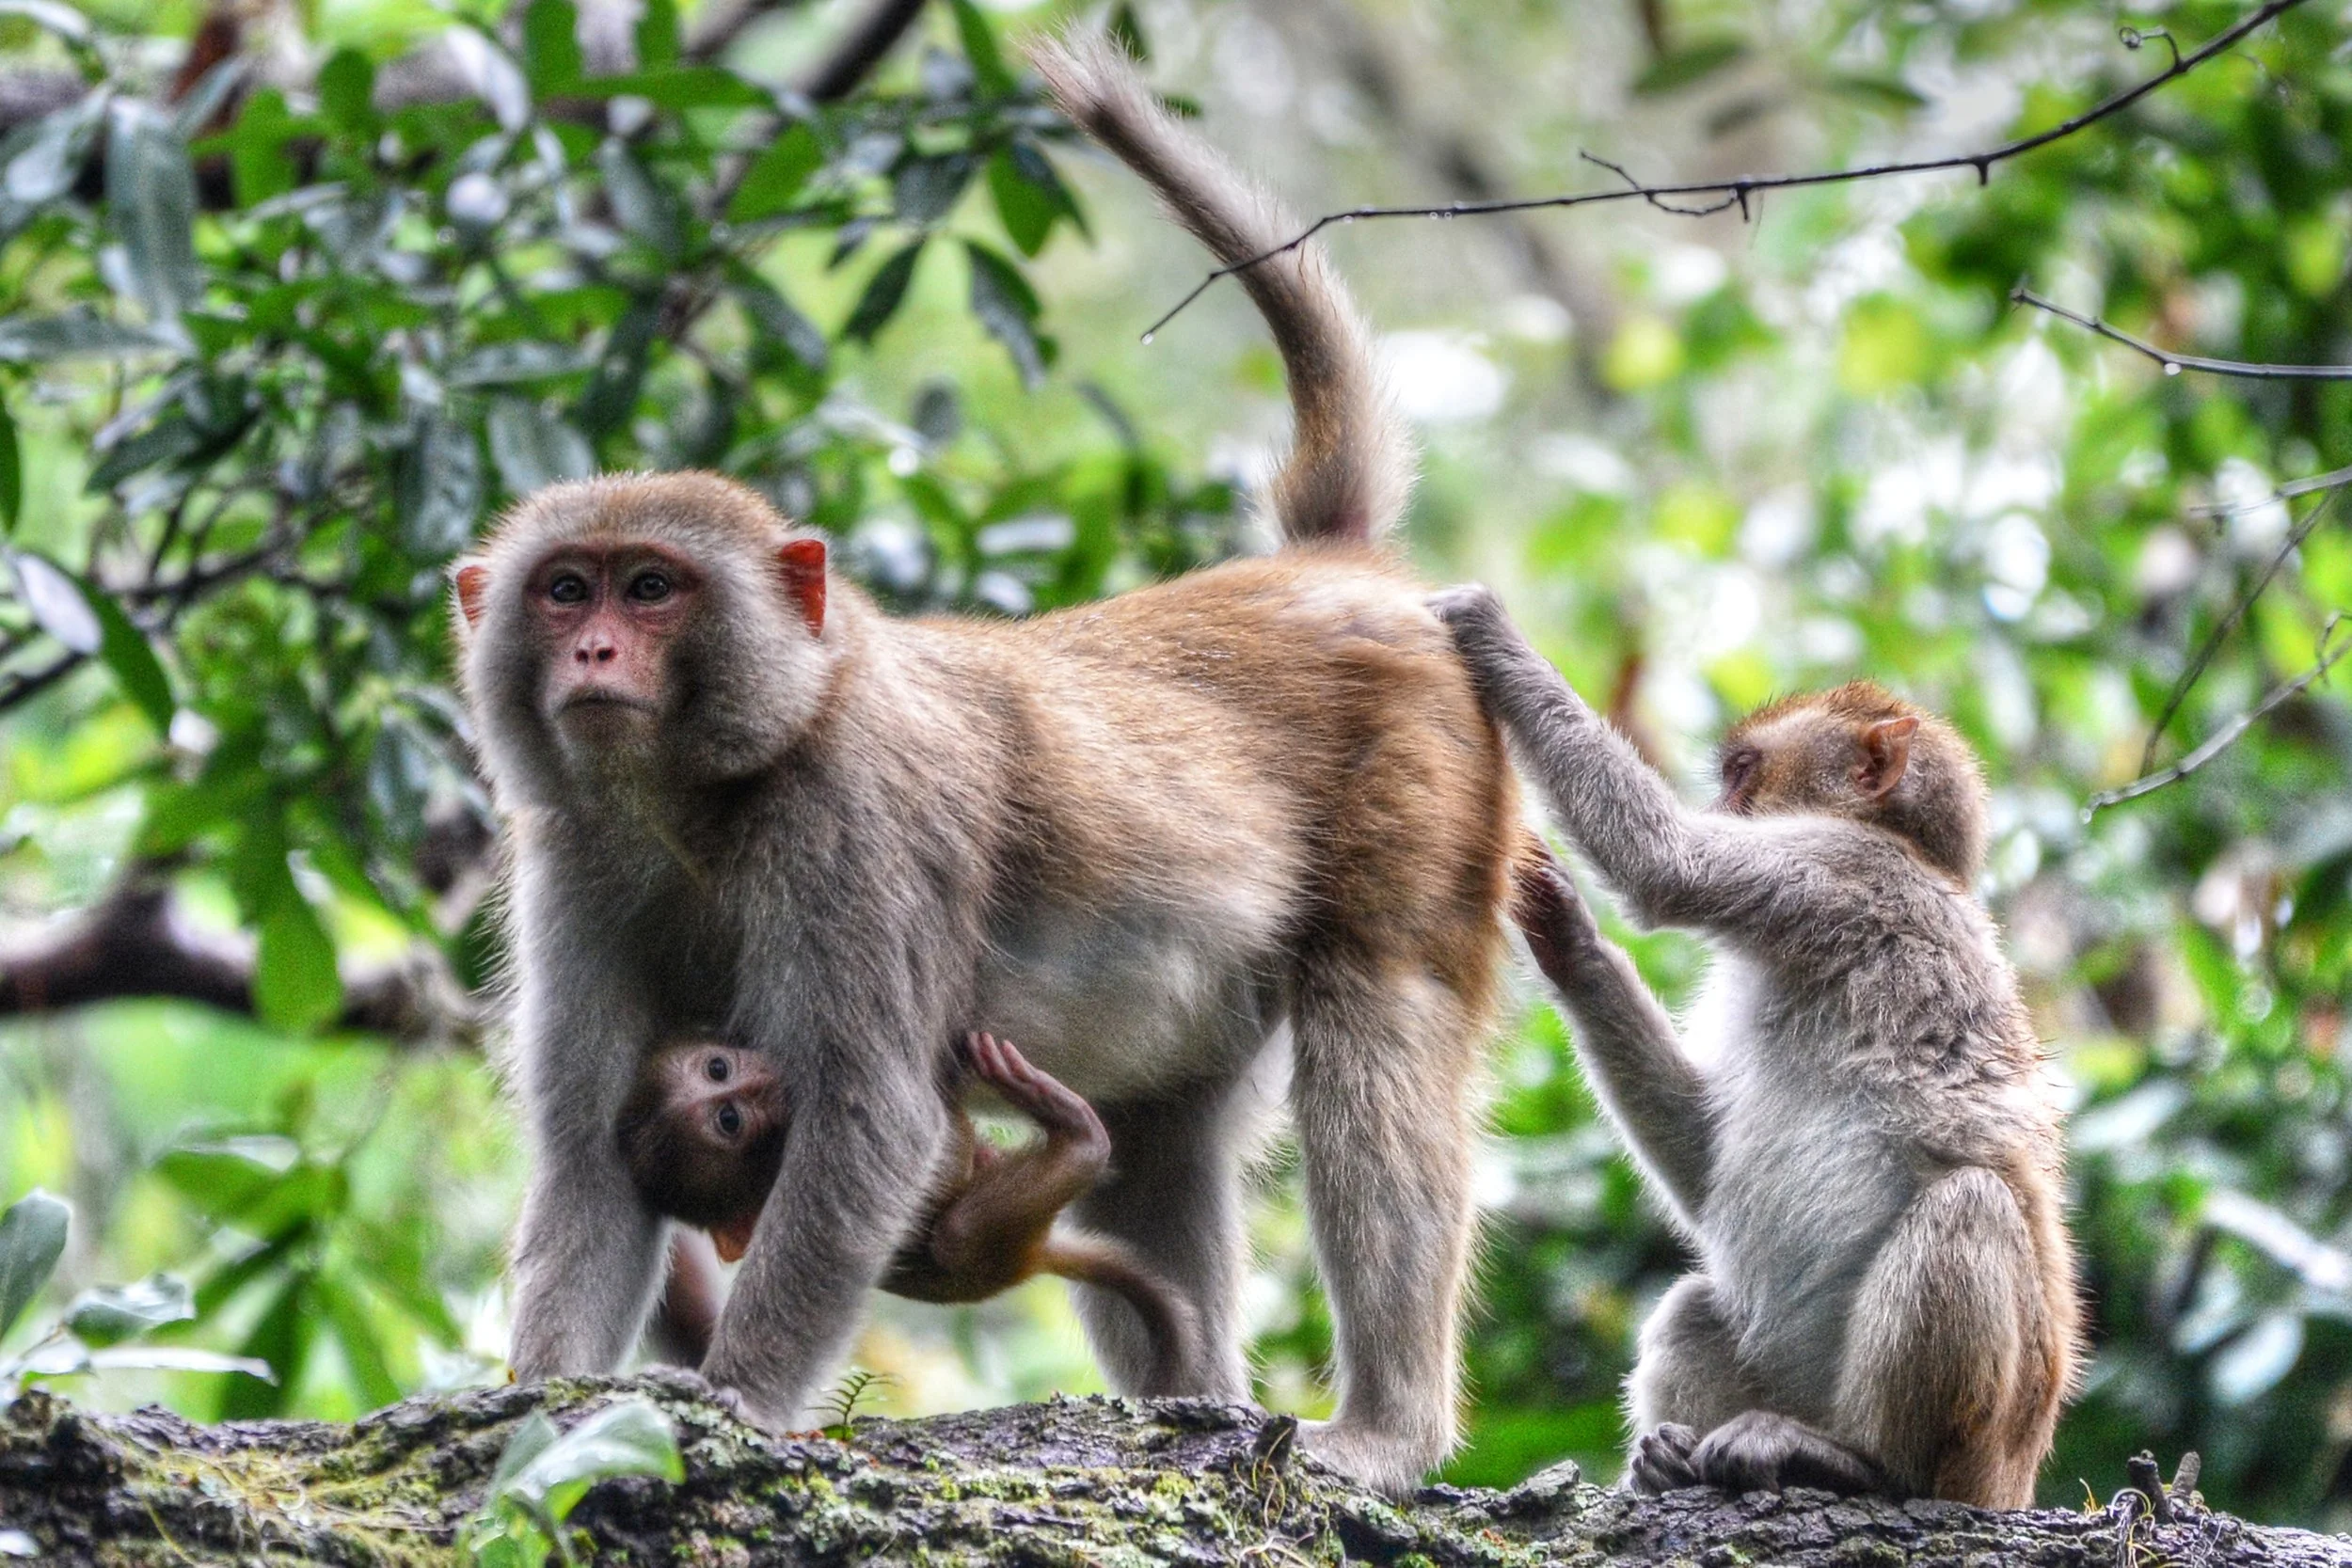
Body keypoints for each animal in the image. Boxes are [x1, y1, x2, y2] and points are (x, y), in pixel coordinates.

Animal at [616, 1030, 1202, 1392]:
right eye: (730, 1120)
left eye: (717, 1068)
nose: (765, 1079)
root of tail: (1033, 1254)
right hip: (993, 1248)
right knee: (957, 1235)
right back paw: (1081, 1139)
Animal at [1429, 585, 2079, 1509]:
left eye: (1743, 774)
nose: (1723, 807)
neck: (1915, 855)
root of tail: (2016, 1478)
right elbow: (1704, 1160)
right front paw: (1566, 936)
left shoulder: (1831, 869)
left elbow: (1664, 862)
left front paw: (1486, 630)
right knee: (1698, 1304)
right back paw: (1676, 1462)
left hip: (1982, 1447)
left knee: (1969, 1205)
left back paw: (1862, 1464)